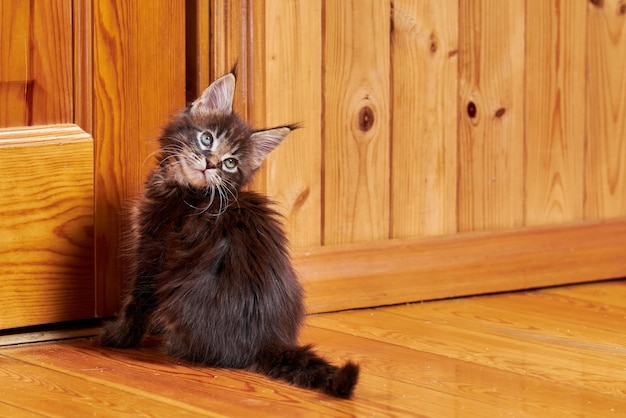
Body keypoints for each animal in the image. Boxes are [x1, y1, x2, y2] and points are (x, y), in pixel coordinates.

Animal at [99, 68, 358, 398]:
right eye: (207, 138)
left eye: (230, 162)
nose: (211, 164)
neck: (188, 190)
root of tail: (266, 338)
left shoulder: (153, 249)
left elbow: (137, 300)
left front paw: (116, 337)